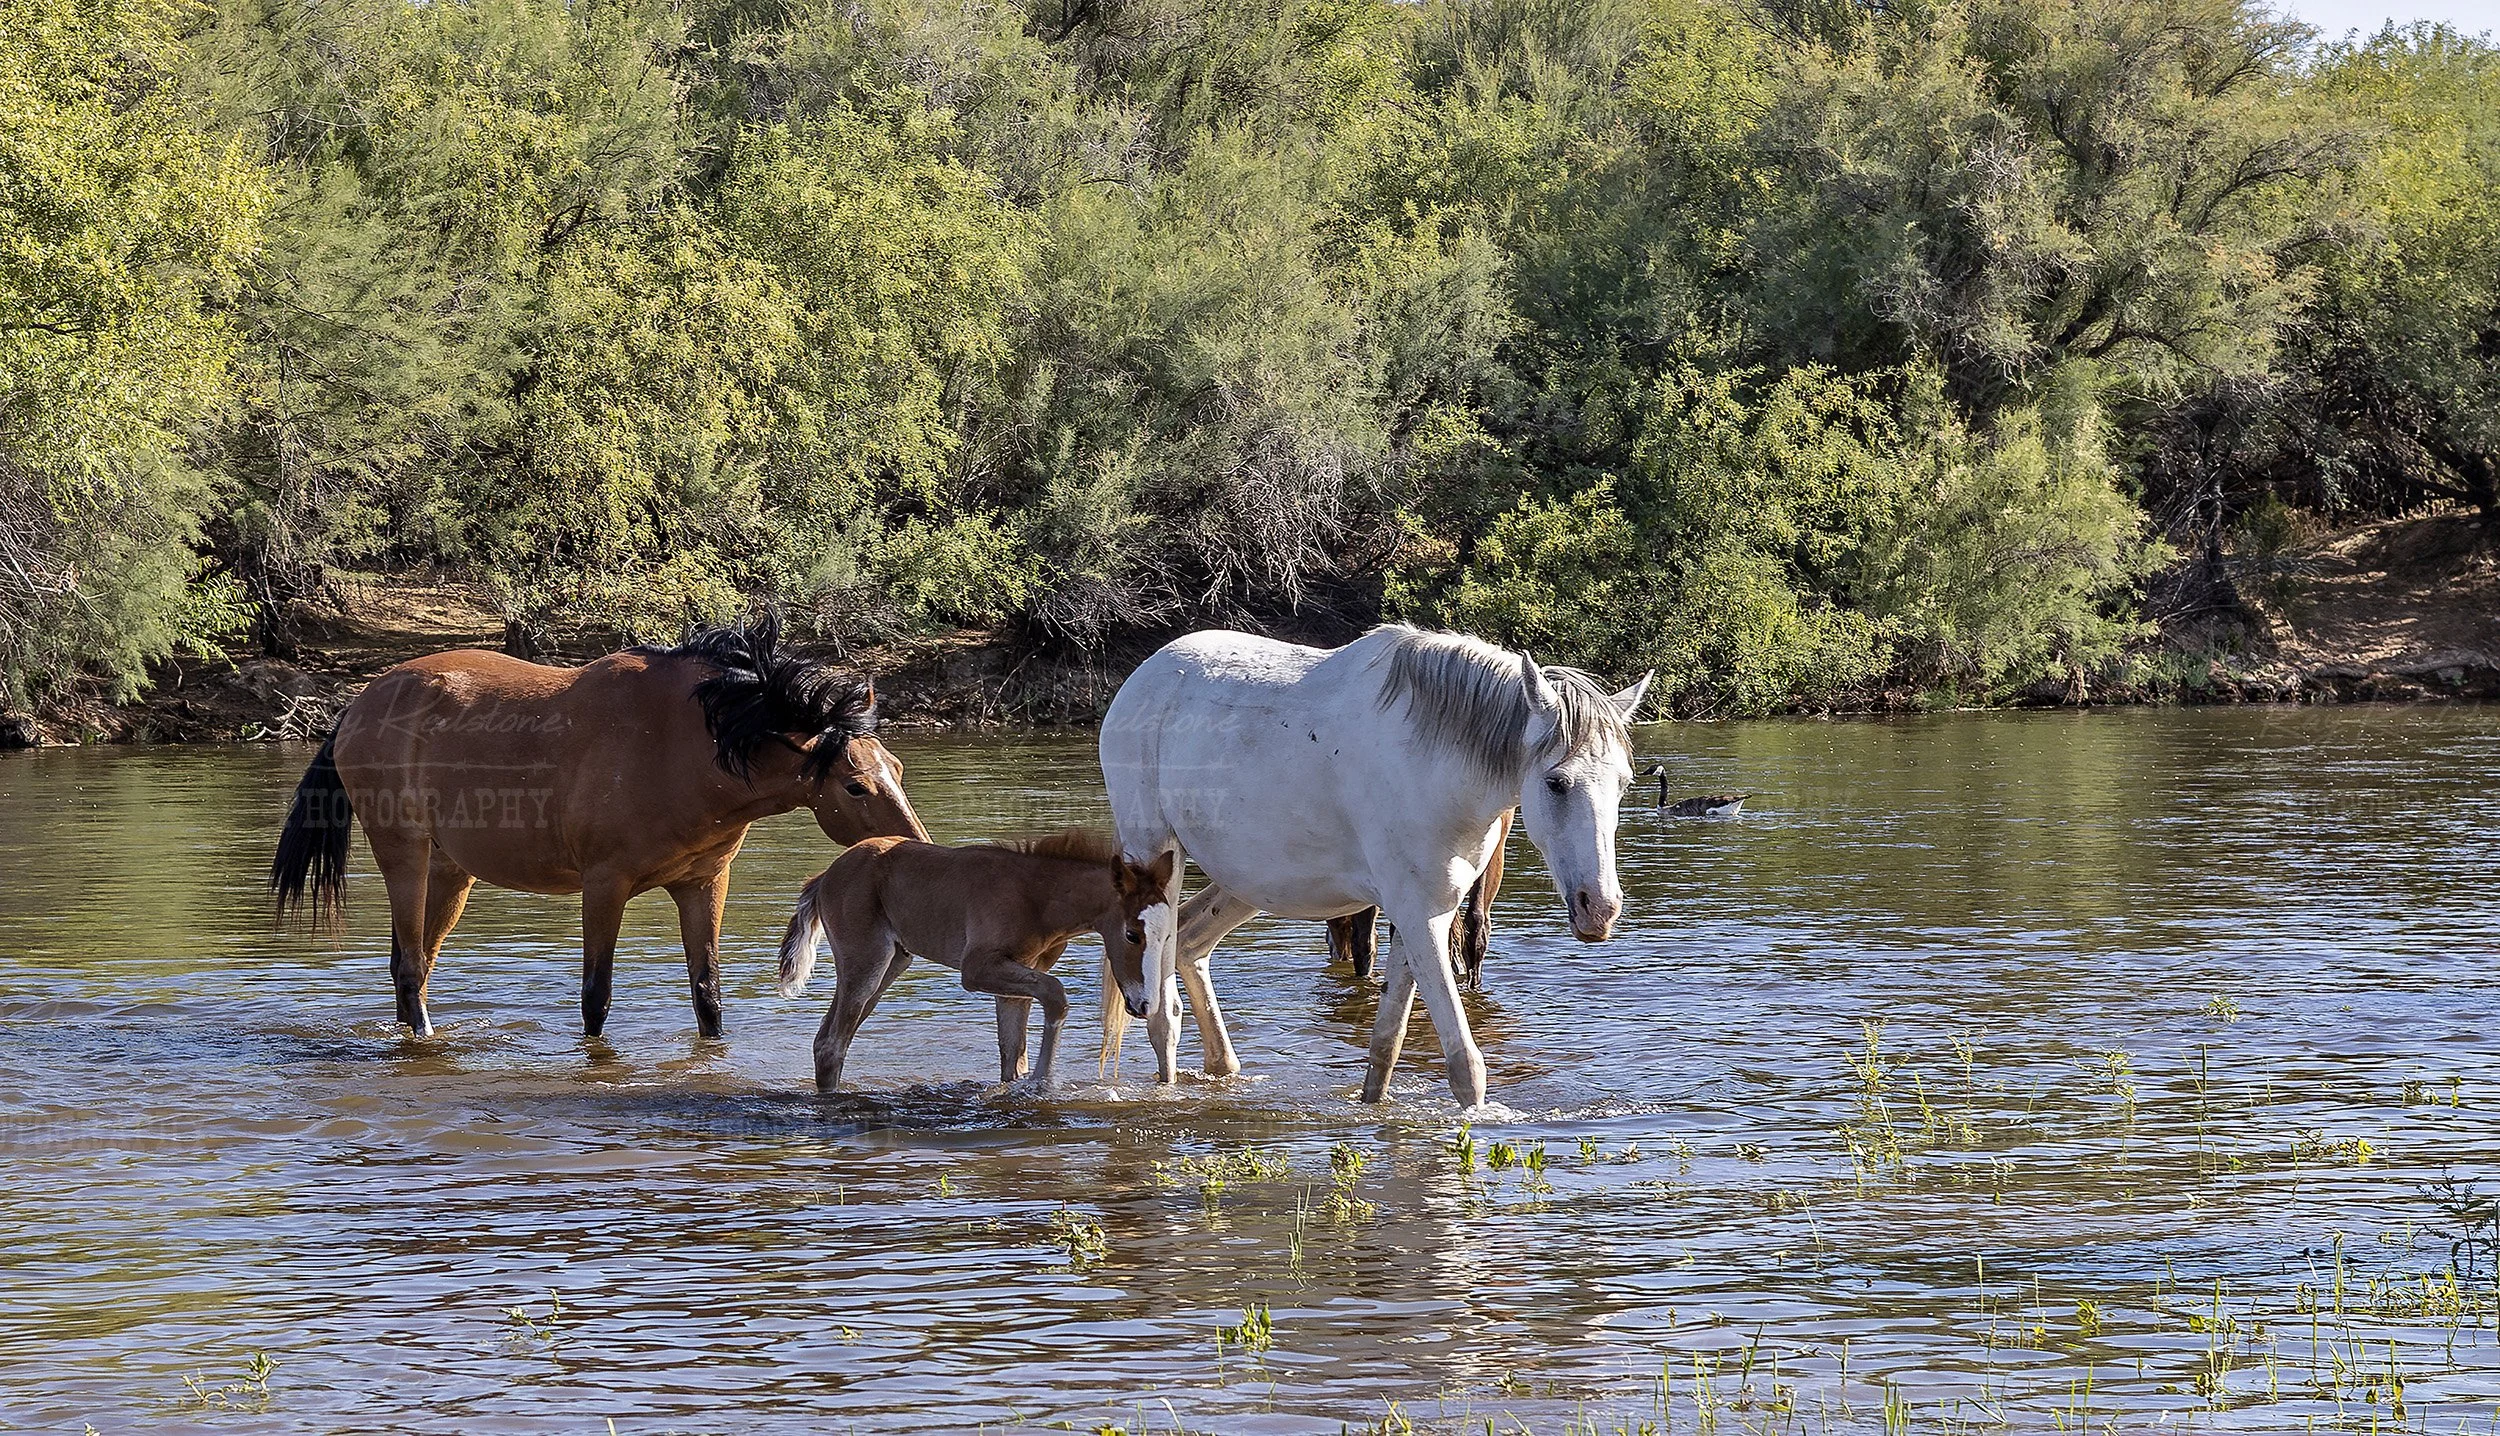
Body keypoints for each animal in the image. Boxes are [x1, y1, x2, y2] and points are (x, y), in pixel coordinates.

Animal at [269, 614, 928, 1040]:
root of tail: (356, 707)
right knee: (409, 970)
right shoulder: (604, 885)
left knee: (415, 966)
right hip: (403, 854)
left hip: (452, 872)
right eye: (855, 785)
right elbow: (596, 998)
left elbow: (708, 997)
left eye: (895, 768)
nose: (915, 852)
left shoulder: (703, 884)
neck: (683, 745)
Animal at [774, 832, 1174, 1090]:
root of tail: (826, 875)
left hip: (892, 963)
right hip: (866, 960)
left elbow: (1012, 1055)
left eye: (1167, 936)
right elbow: (1056, 995)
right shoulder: (978, 968)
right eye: (1132, 935)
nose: (1144, 1004)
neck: (1037, 897)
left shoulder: (1020, 975)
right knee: (832, 1044)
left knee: (829, 1040)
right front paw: (1044, 1081)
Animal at [1098, 624, 1648, 1106]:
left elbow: (1386, 1046)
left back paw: (1224, 1071)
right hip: (1158, 859)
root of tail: (1142, 678)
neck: (1434, 764)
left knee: (1191, 945)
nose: (1599, 909)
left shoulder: (1422, 913)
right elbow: (1465, 1065)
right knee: (1162, 1013)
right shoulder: (1420, 917)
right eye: (1556, 782)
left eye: (1624, 782)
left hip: (1248, 883)